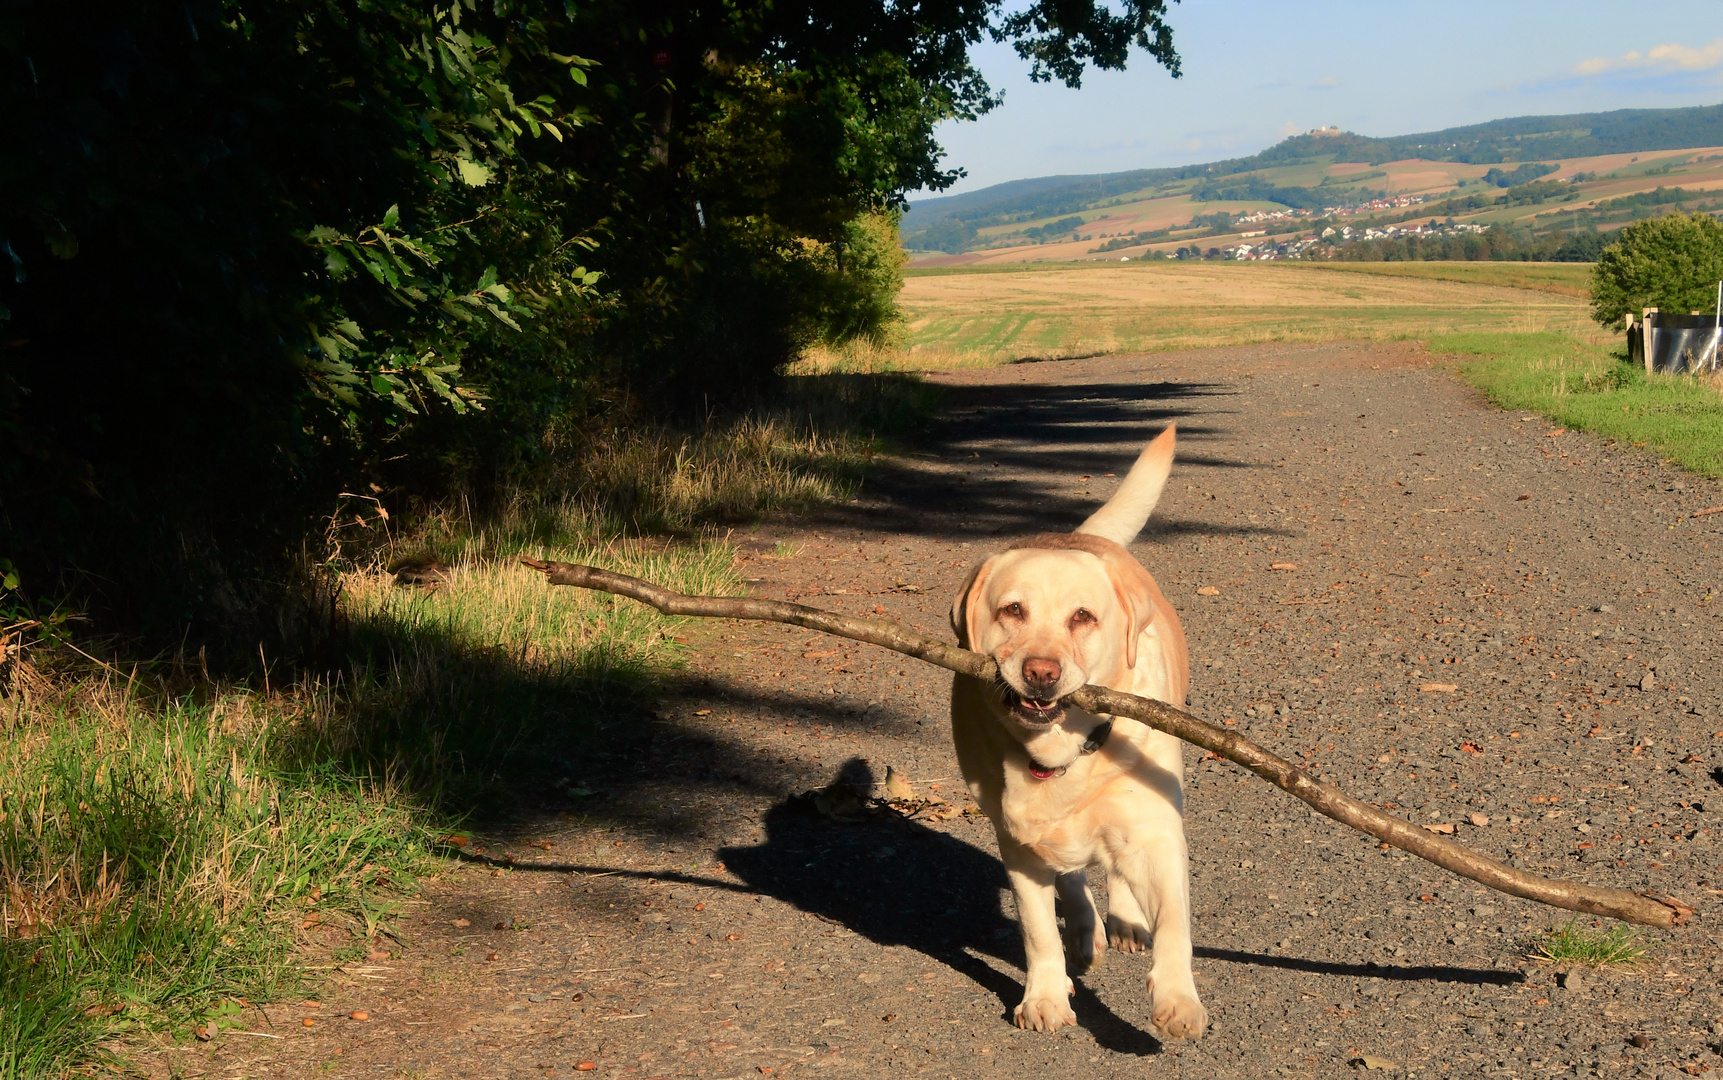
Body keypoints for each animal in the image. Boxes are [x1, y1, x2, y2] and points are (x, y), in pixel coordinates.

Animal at [951, 427, 1206, 1040]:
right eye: (1012, 611)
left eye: (1082, 617)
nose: (1041, 672)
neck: (1061, 755)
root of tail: (1082, 536)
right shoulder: (1017, 845)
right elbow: (1039, 929)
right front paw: (1045, 996)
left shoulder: (1157, 832)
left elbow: (1174, 924)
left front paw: (1178, 1000)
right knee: (1072, 879)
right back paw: (1087, 929)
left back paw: (1127, 921)